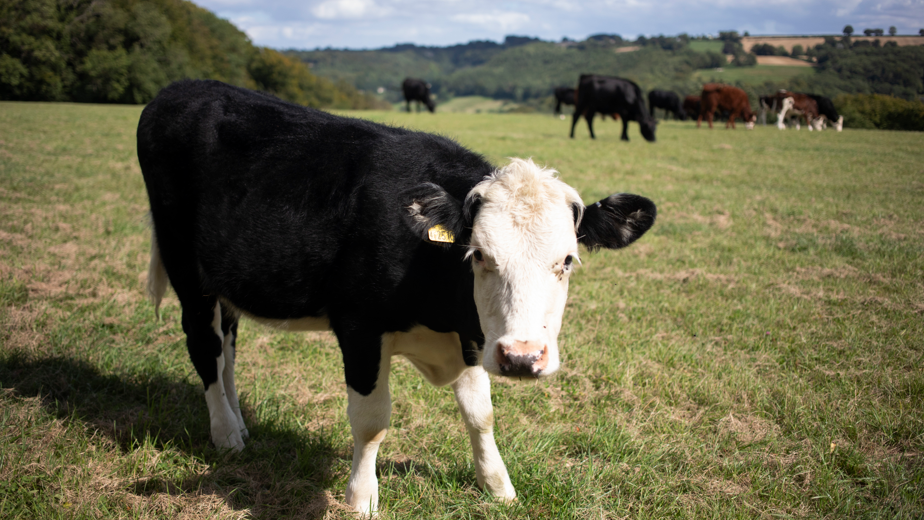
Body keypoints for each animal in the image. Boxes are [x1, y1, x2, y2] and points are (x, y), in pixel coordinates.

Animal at [137, 80, 657, 517]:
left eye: (567, 260)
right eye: (479, 254)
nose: (522, 357)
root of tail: (181, 88)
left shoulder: (472, 335)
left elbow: (481, 415)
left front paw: (497, 485)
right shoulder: (360, 329)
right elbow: (372, 421)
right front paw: (361, 497)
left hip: (225, 283)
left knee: (227, 347)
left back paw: (238, 421)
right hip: (186, 269)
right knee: (204, 346)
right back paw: (226, 434)